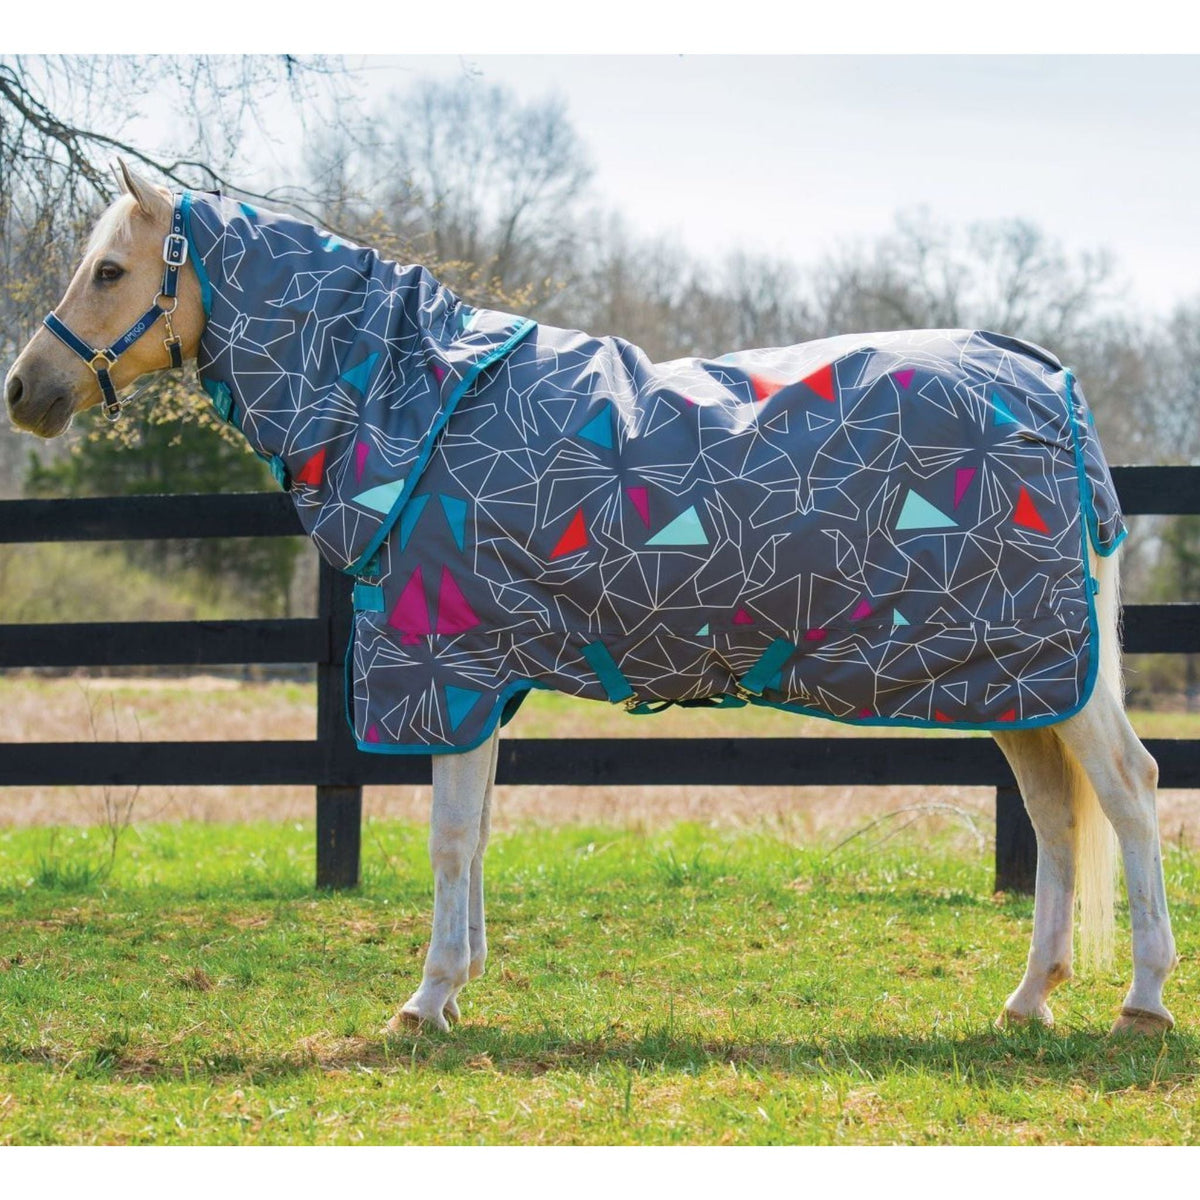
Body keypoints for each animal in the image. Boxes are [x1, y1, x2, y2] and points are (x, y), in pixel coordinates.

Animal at [5, 161, 1177, 1036]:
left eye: (111, 269)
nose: (24, 391)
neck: (418, 409)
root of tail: (1045, 379)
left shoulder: (452, 666)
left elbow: (447, 838)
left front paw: (424, 999)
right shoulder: (488, 678)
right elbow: (476, 832)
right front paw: (457, 988)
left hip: (1049, 672)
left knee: (1127, 788)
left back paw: (1144, 1001)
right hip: (1008, 674)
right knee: (1055, 814)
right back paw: (1028, 999)